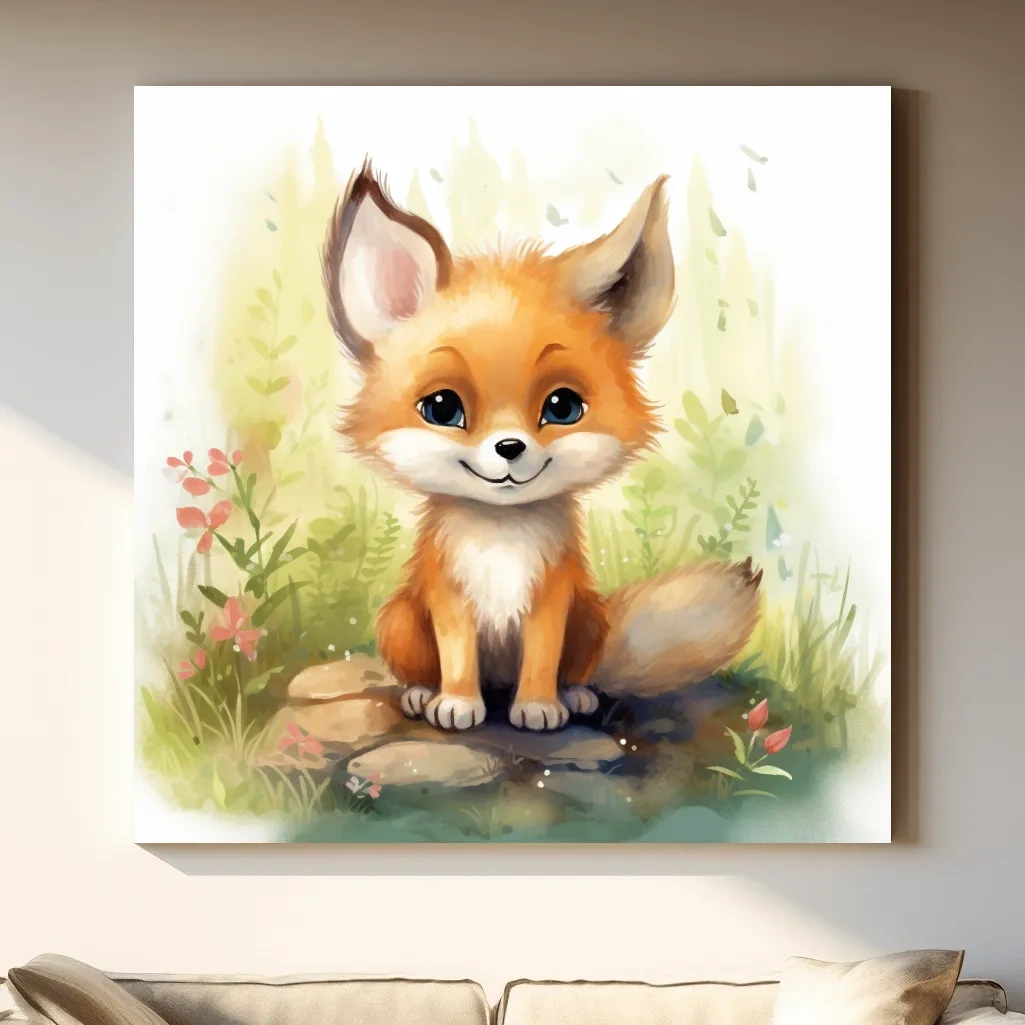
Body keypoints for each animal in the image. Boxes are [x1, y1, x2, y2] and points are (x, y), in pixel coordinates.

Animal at [320, 161, 761, 733]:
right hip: (399, 619)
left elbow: (542, 657)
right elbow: (457, 657)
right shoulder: (449, 598)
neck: (501, 538)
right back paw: (421, 694)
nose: (510, 447)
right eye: (442, 408)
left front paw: (538, 705)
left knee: (578, 670)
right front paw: (457, 702)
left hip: (590, 618)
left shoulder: (553, 598)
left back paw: (575, 695)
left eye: (562, 407)